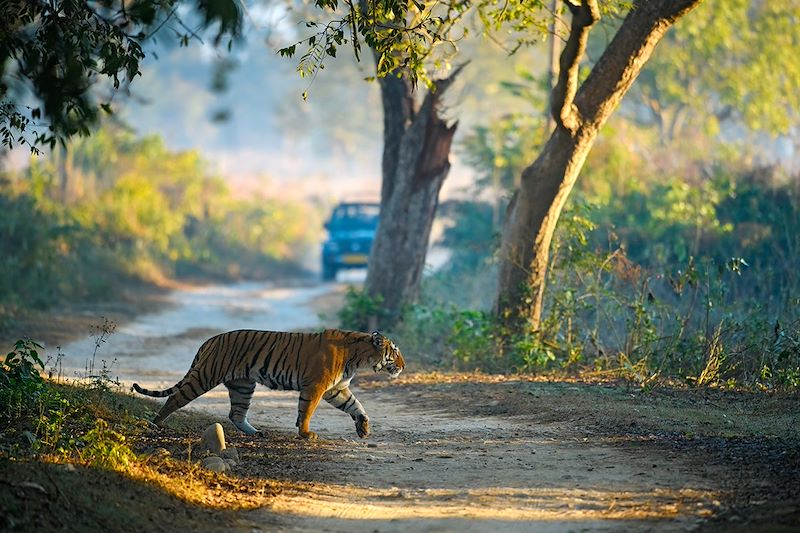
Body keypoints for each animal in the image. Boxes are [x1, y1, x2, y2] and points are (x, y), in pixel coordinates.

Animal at [132, 329, 404, 440]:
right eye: (395, 352)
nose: (404, 366)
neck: (359, 358)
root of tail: (210, 340)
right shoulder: (316, 387)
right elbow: (306, 411)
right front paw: (305, 434)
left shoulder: (335, 389)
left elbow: (355, 405)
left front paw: (364, 428)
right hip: (205, 376)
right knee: (175, 397)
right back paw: (155, 423)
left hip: (242, 385)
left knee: (236, 413)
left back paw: (256, 432)